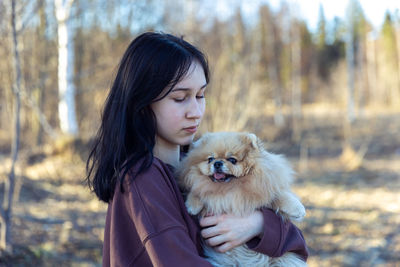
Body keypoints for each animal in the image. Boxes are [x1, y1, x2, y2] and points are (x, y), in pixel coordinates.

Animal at [177, 133, 306, 266]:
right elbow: (197, 189)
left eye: (232, 160)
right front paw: (192, 205)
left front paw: (297, 209)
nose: (217, 163)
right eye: (210, 159)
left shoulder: (264, 188)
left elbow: (279, 195)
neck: (230, 188)